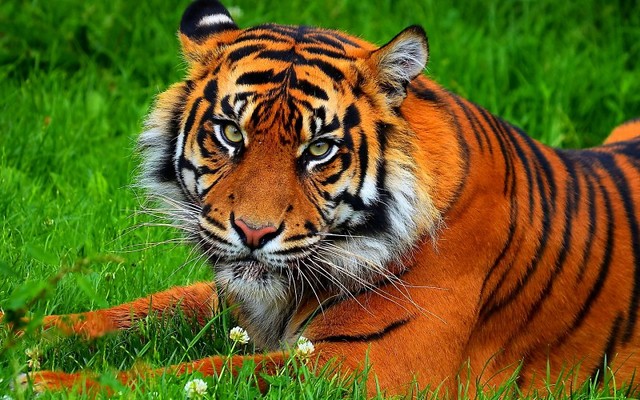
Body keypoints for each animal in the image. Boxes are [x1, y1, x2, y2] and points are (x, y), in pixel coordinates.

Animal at [13, 0, 640, 397]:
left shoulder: (370, 364)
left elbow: (204, 371)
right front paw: (16, 333)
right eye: (231, 133)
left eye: (318, 149)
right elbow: (132, 312)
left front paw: (45, 383)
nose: (254, 233)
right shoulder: (237, 298)